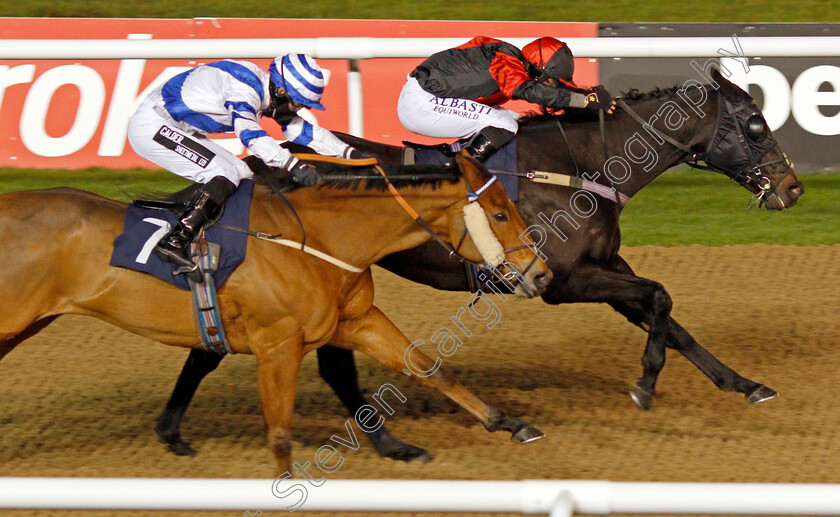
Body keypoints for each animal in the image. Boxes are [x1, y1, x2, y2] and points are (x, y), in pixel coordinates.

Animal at [0, 152, 552, 468]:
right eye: (500, 213)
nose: (542, 274)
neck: (318, 239)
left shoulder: (354, 320)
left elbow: (428, 367)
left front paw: (508, 423)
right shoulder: (277, 344)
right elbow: (281, 434)